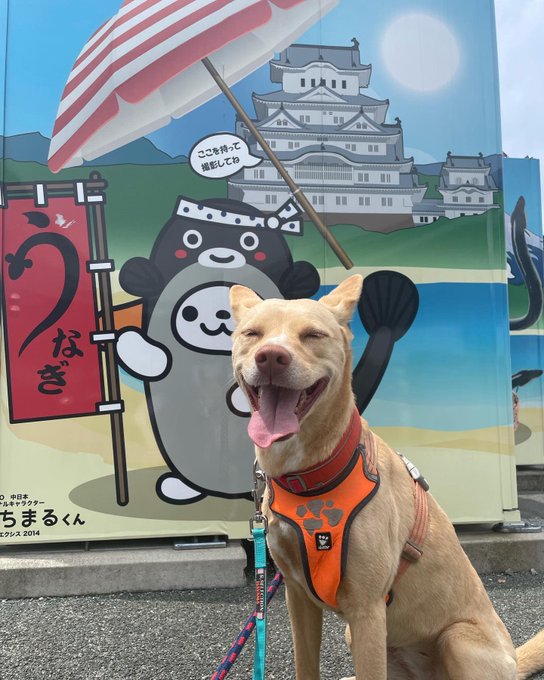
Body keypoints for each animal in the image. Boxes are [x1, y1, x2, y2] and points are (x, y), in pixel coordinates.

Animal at [230, 274, 544, 680]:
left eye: (313, 335)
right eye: (252, 333)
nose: (270, 356)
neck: (312, 474)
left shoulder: (367, 607)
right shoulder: (298, 596)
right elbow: (305, 665)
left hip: (457, 640)